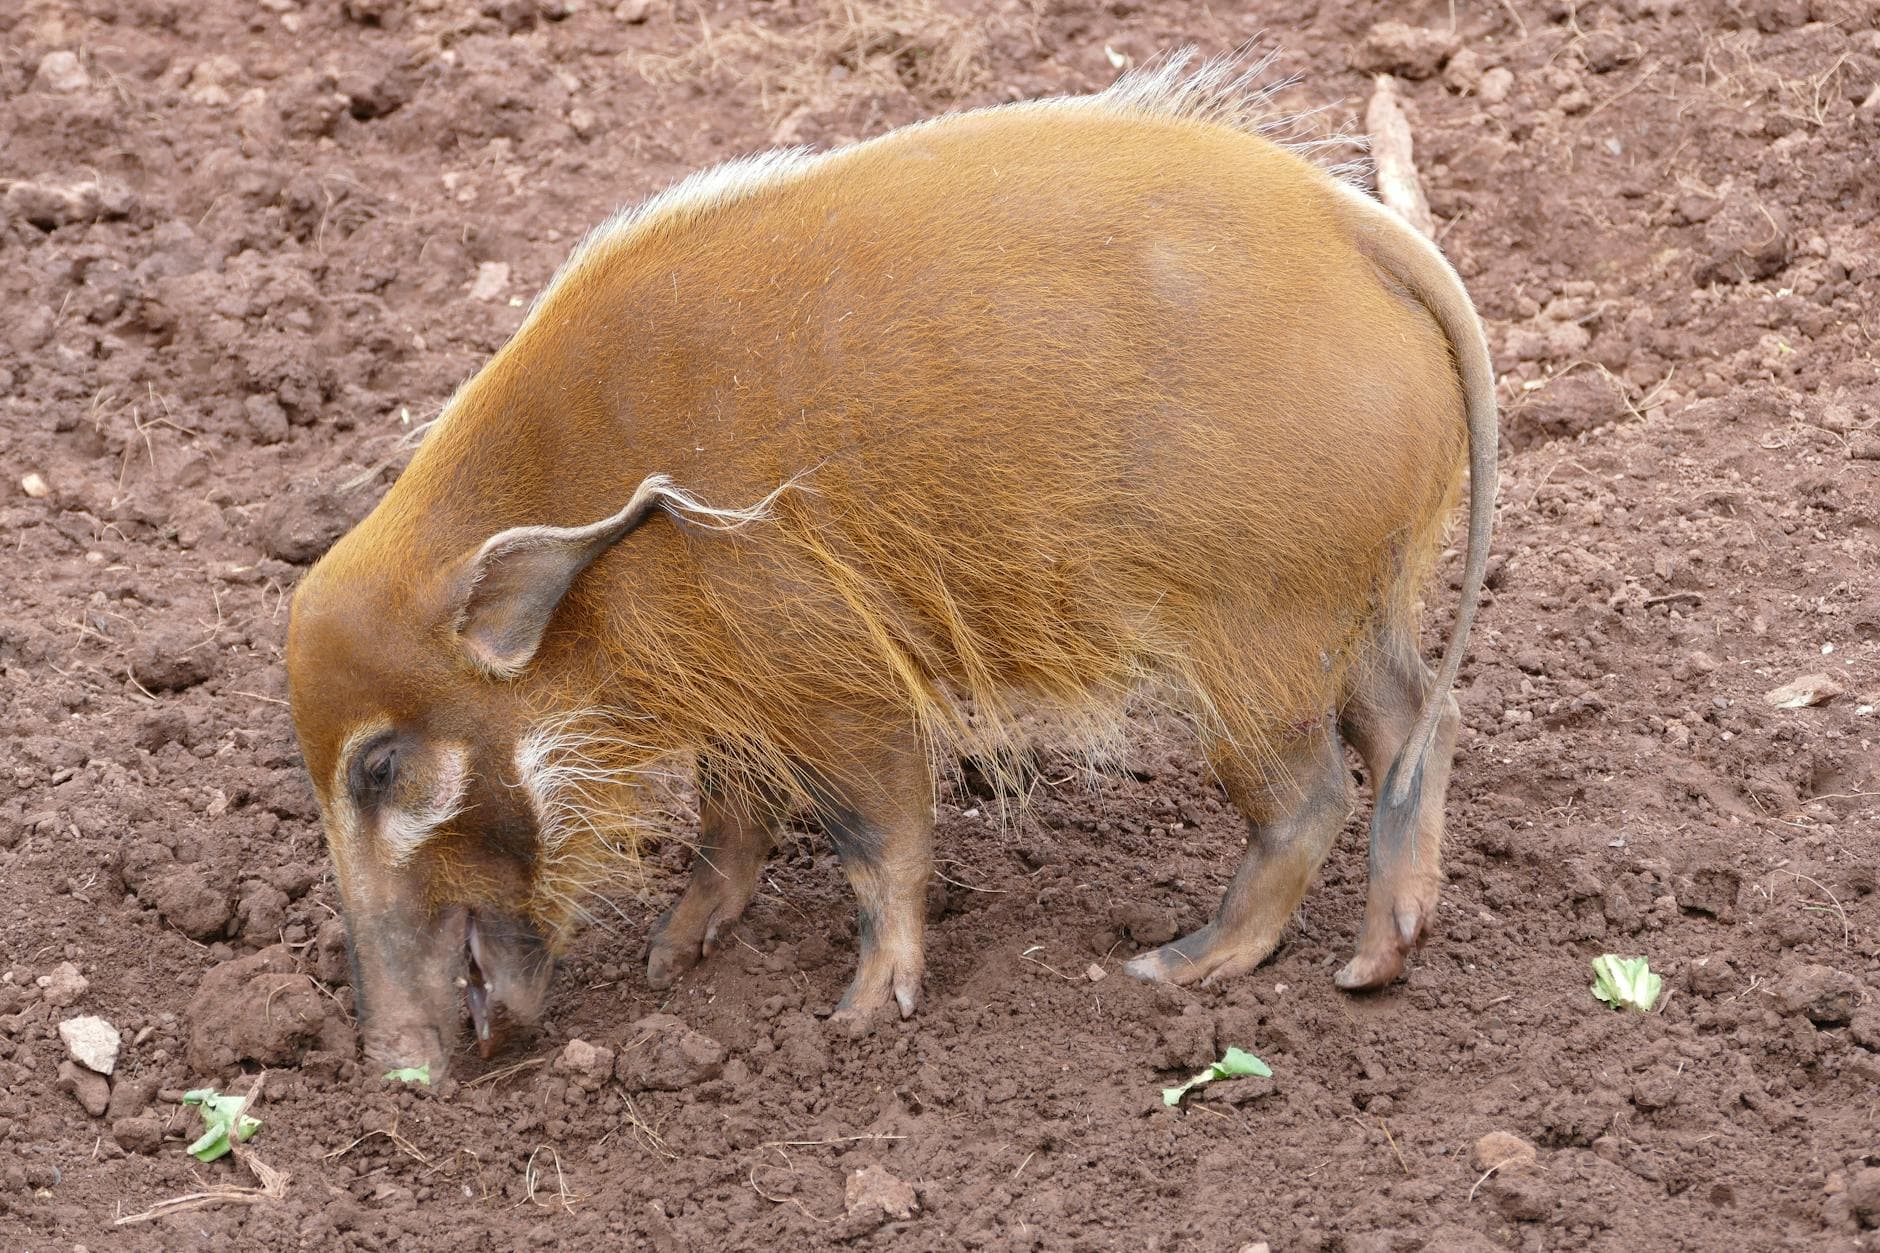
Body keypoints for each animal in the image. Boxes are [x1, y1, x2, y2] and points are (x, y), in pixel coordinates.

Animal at [286, 49, 1498, 1079]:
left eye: (381, 768)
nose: (394, 1066)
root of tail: (1364, 229)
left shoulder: (828, 673)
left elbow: (880, 838)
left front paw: (861, 1015)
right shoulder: (737, 691)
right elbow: (730, 821)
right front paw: (672, 957)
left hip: (1256, 626)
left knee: (1312, 794)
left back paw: (1175, 964)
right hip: (1343, 600)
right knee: (1414, 721)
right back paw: (1374, 961)